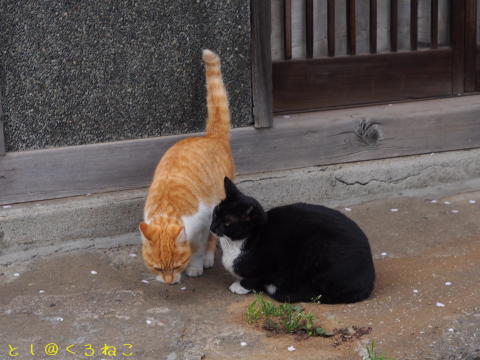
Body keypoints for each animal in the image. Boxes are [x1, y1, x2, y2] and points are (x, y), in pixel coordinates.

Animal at [139, 49, 234, 284]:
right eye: (156, 267)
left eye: (177, 265)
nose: (169, 282)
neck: (167, 210)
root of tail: (211, 136)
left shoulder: (202, 225)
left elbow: (198, 249)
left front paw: (195, 266)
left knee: (212, 239)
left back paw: (208, 259)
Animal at [212, 177, 376, 304]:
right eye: (215, 213)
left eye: (227, 223)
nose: (212, 227)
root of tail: (369, 281)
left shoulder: (272, 263)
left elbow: (256, 277)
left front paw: (240, 286)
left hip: (318, 248)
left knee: (317, 292)